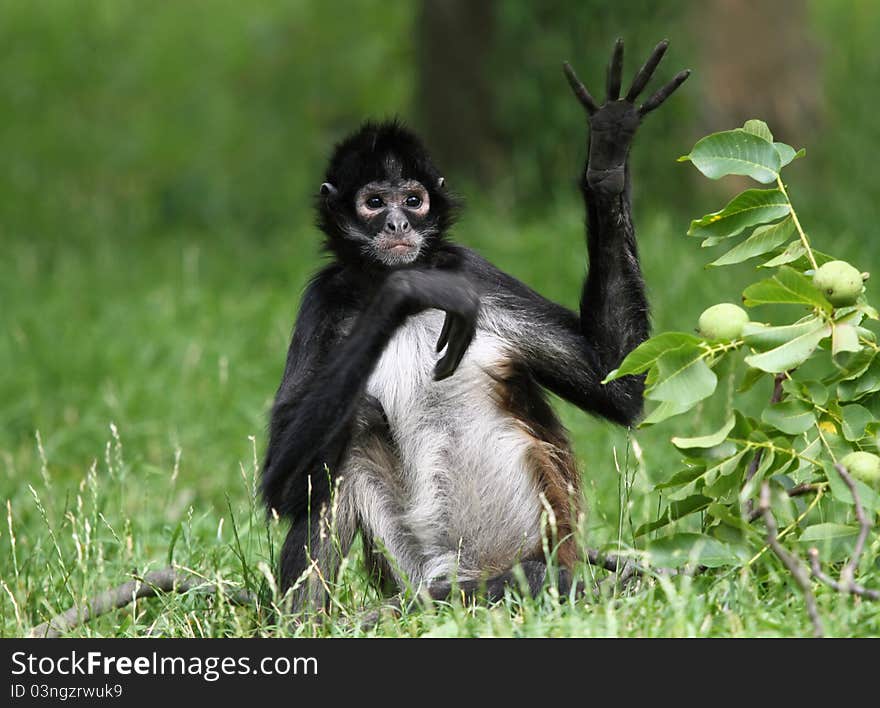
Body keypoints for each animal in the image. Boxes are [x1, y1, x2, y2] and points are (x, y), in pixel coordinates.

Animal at [264, 40, 692, 608]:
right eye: (374, 203)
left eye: (413, 200)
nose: (397, 223)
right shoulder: (326, 299)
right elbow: (280, 487)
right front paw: (406, 291)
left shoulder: (471, 270)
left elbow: (619, 387)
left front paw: (608, 153)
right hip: (415, 569)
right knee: (343, 449)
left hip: (533, 553)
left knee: (540, 575)